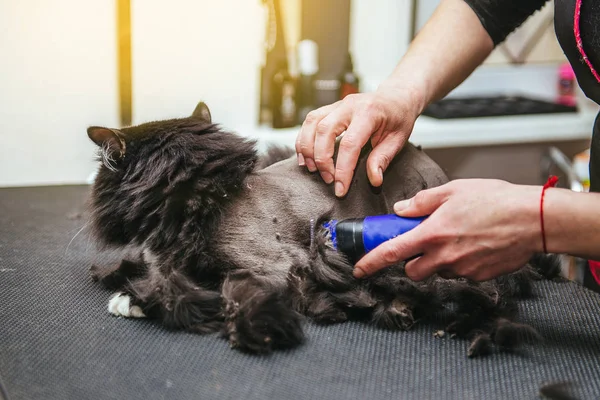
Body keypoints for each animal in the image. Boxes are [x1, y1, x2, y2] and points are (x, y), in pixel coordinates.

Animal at [88, 101, 564, 354]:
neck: (208, 195)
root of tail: (420, 150)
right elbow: (166, 277)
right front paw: (131, 289)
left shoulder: (274, 269)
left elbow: (217, 292)